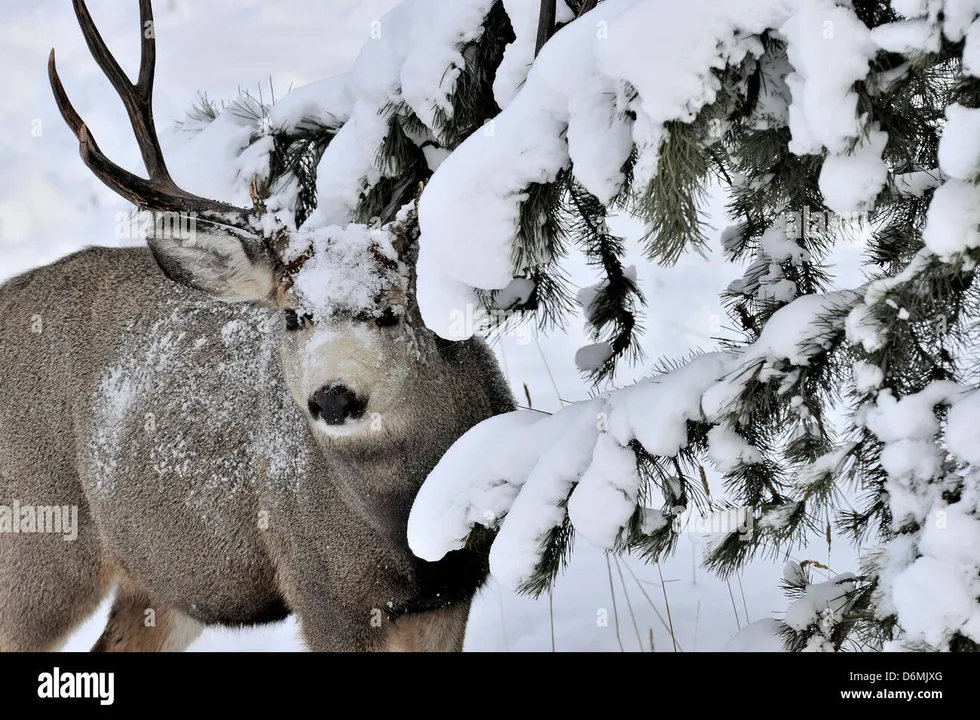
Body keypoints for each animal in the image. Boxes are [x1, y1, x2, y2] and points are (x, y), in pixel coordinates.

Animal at [0, 0, 515, 652]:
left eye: (392, 310)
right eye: (294, 314)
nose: (334, 397)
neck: (411, 540)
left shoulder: (454, 595)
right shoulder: (321, 590)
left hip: (163, 579)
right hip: (35, 542)